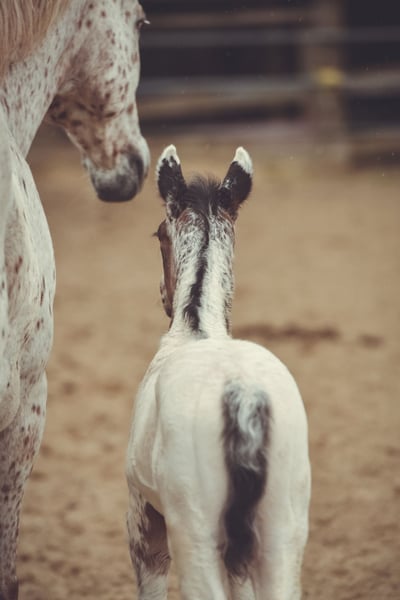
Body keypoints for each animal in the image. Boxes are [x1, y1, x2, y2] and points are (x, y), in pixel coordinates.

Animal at [125, 145, 311, 599]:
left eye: (159, 233)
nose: (164, 296)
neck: (197, 330)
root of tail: (241, 396)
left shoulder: (144, 525)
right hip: (282, 535)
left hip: (196, 538)